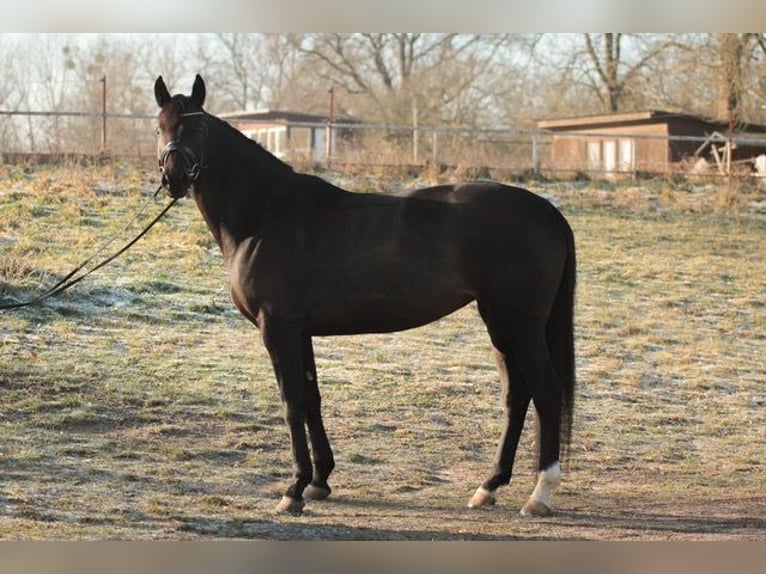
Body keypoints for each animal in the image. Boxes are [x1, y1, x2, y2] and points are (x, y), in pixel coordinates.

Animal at [154, 74, 576, 520]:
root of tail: (547, 211)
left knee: (547, 391)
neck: (265, 214)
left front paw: (293, 489)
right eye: (160, 126)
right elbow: (311, 399)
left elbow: (291, 403)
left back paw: (539, 494)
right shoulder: (300, 331)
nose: (174, 177)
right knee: (517, 395)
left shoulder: (278, 327)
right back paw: (489, 486)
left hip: (521, 323)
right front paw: (319, 481)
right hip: (498, 321)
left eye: (197, 127)